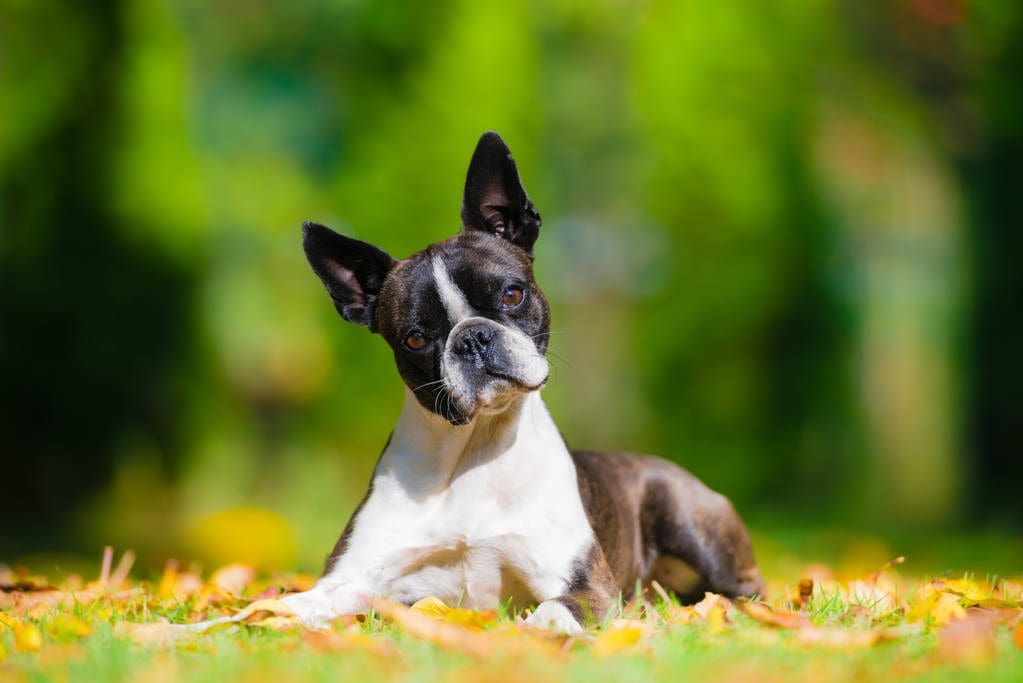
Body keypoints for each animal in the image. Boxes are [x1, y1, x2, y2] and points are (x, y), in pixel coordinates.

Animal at [278, 130, 761, 633]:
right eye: (415, 338)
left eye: (512, 294)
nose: (472, 337)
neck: (474, 450)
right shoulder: (350, 576)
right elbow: (295, 603)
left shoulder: (587, 586)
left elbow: (550, 612)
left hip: (688, 521)